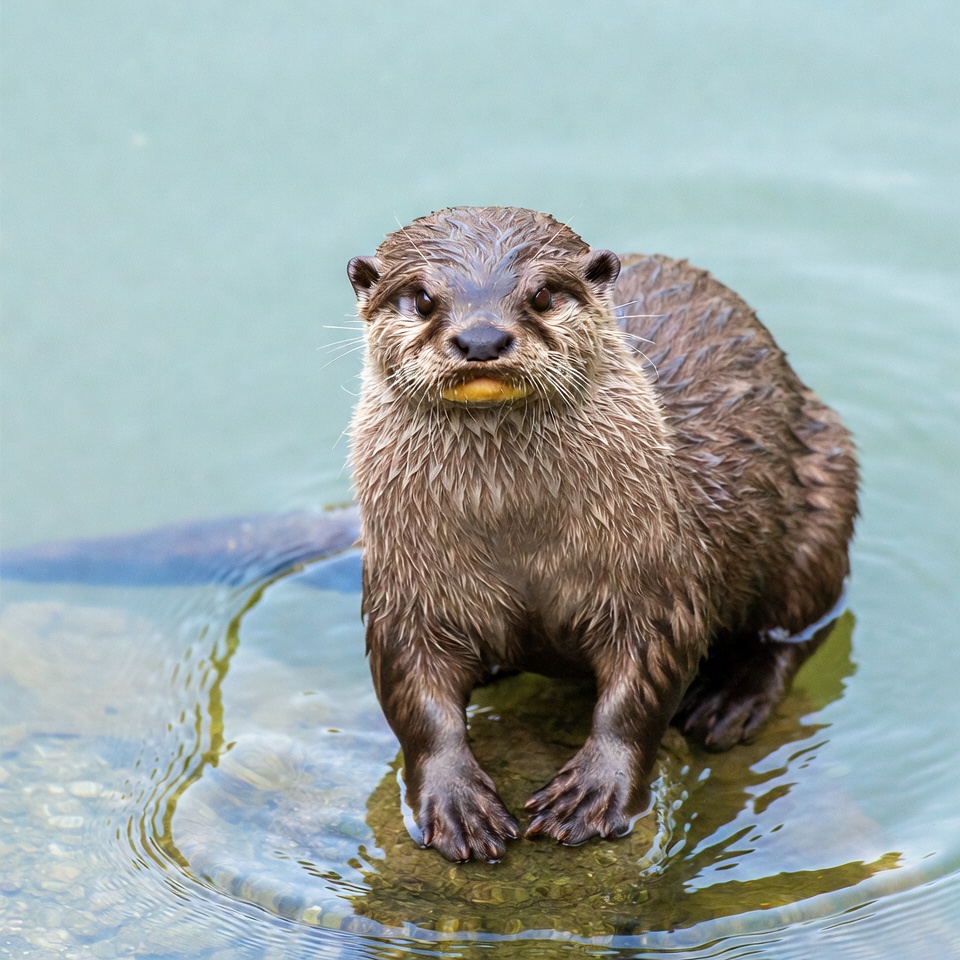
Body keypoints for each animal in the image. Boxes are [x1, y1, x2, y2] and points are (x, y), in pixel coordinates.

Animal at [347, 206, 858, 863]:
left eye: (541, 294)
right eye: (421, 298)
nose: (481, 339)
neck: (516, 535)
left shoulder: (655, 575)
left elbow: (640, 691)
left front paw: (595, 793)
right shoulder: (405, 587)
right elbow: (415, 699)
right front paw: (453, 801)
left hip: (823, 494)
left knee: (798, 627)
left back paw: (730, 702)